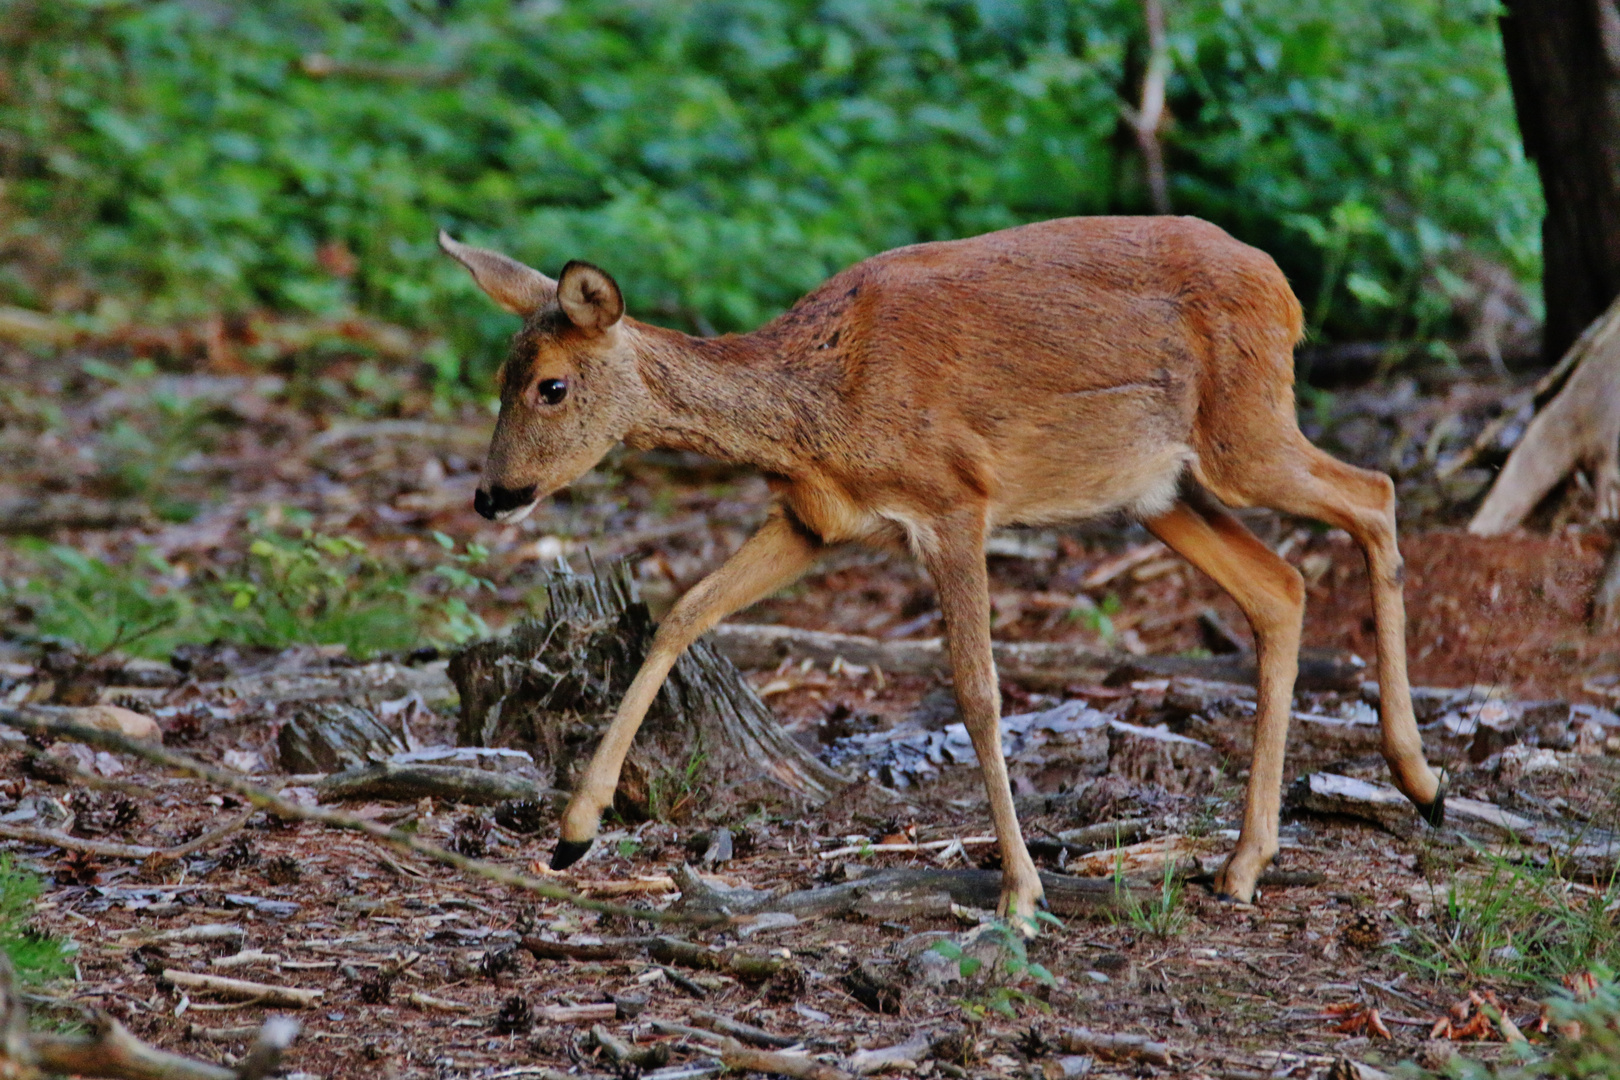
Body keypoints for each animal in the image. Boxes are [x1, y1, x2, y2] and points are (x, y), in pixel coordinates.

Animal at [440, 216, 1445, 932]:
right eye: (498, 377)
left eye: (551, 386)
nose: (492, 495)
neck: (819, 403)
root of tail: (1285, 289)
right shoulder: (814, 520)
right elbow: (683, 610)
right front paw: (575, 833)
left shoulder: (956, 500)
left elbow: (978, 690)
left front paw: (1022, 892)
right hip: (1161, 489)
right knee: (1283, 586)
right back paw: (1246, 864)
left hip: (1245, 430)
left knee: (1376, 492)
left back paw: (1419, 781)